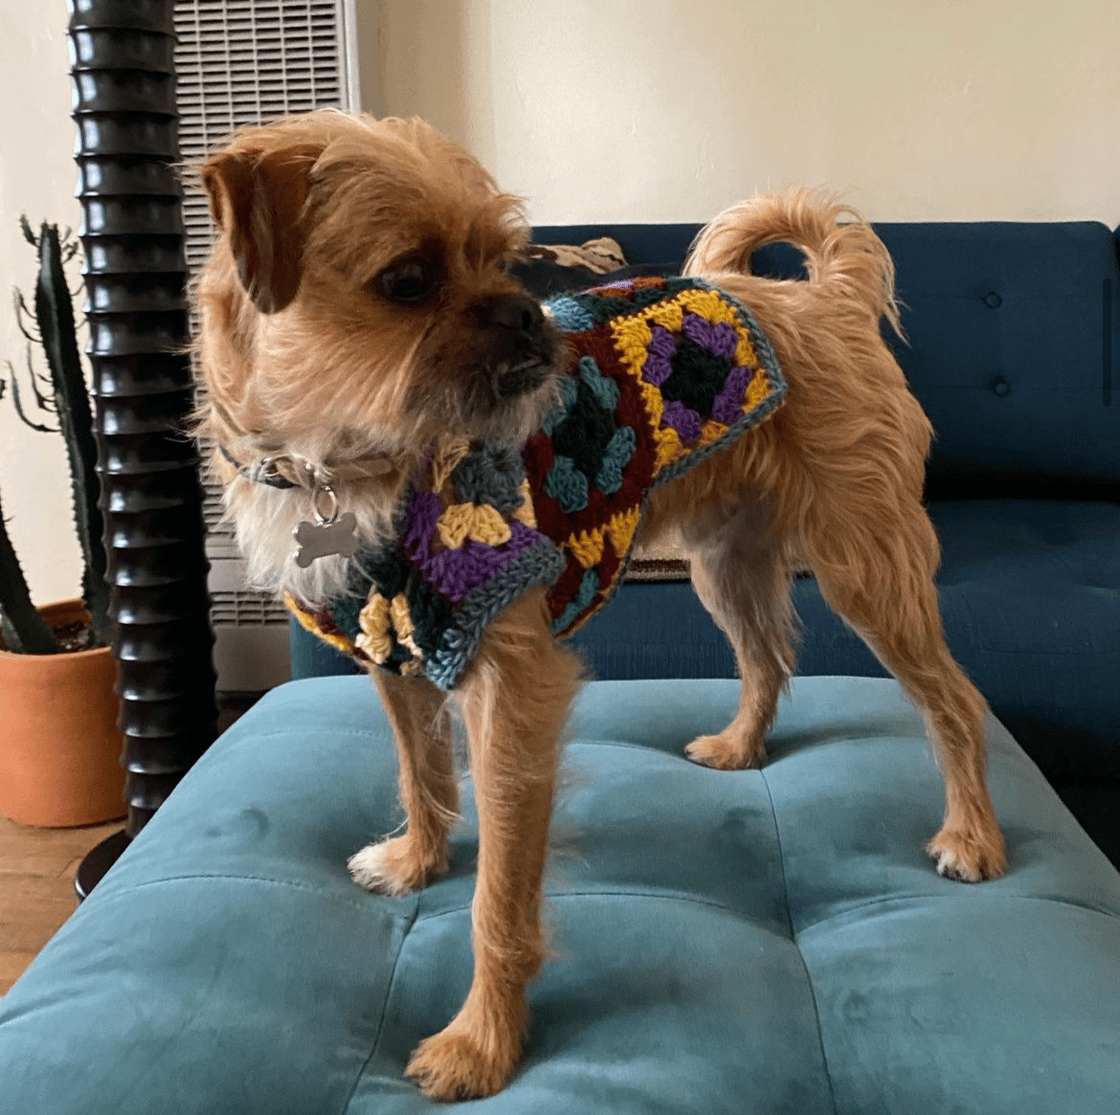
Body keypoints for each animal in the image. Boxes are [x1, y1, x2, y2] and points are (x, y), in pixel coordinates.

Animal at [197, 109, 1012, 1101]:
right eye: (409, 280)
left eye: (507, 262)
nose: (525, 313)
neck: (346, 465)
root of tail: (827, 298)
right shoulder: (393, 654)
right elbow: (419, 774)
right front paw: (418, 858)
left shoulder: (512, 693)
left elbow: (498, 895)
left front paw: (482, 1043)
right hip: (724, 565)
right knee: (768, 655)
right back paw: (742, 747)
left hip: (868, 569)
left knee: (955, 701)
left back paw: (971, 835)